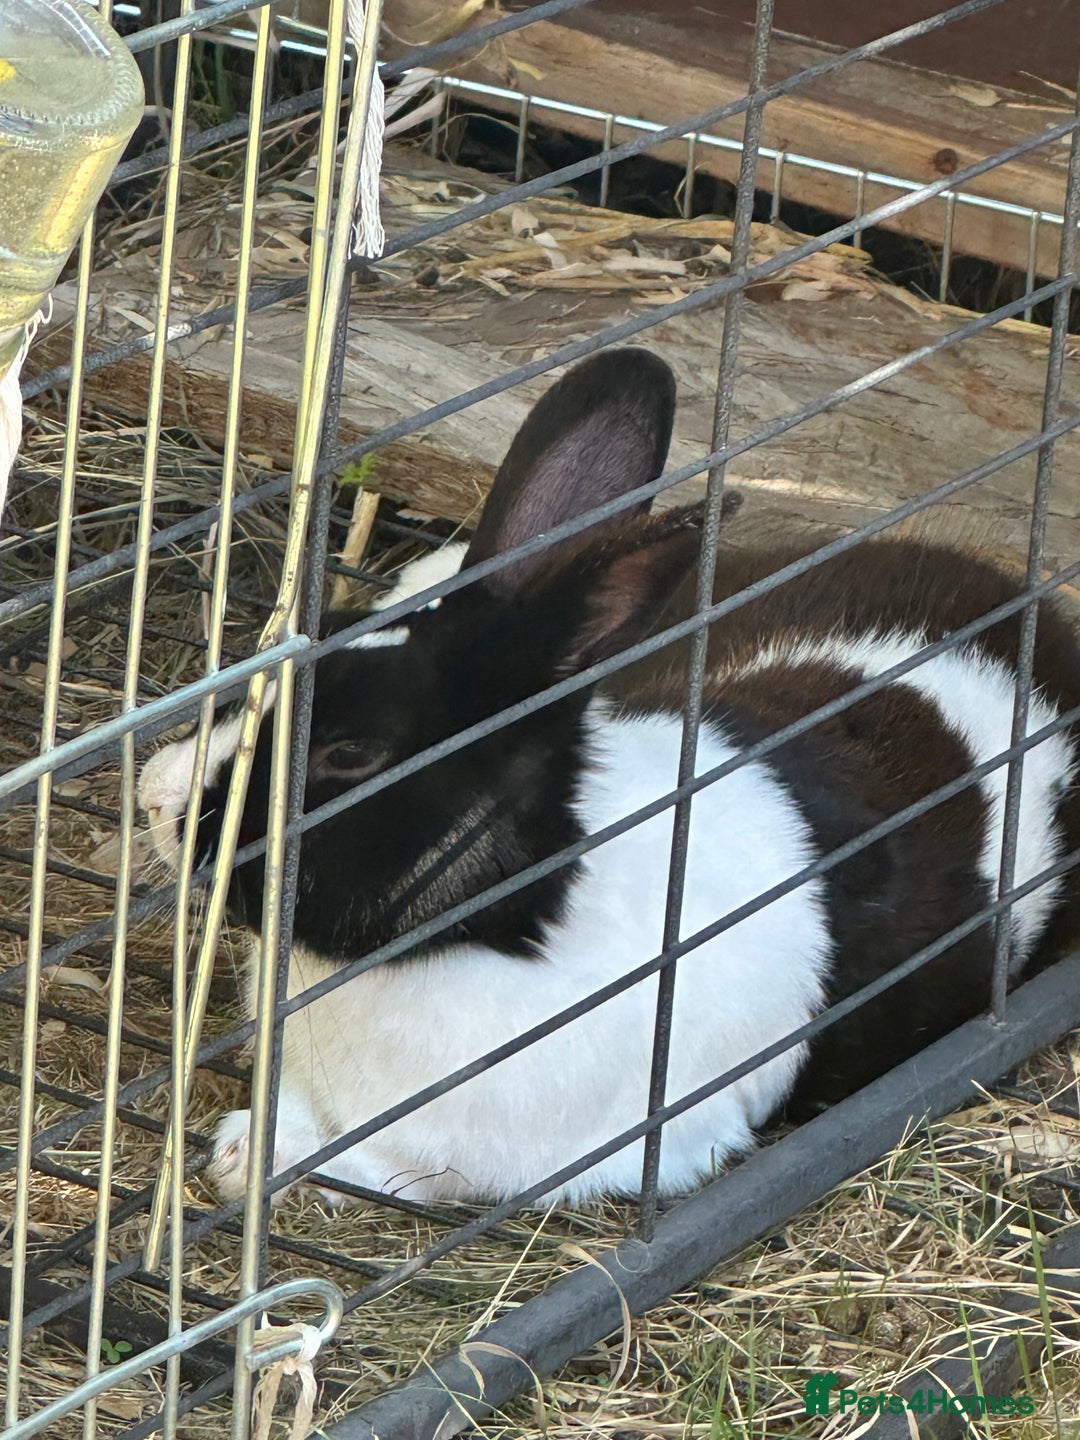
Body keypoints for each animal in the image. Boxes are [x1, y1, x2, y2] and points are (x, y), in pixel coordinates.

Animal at [137, 348, 1080, 1207]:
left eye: (348, 755)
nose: (155, 795)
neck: (511, 927)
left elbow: (389, 1169)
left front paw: (258, 1161)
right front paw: (240, 1152)